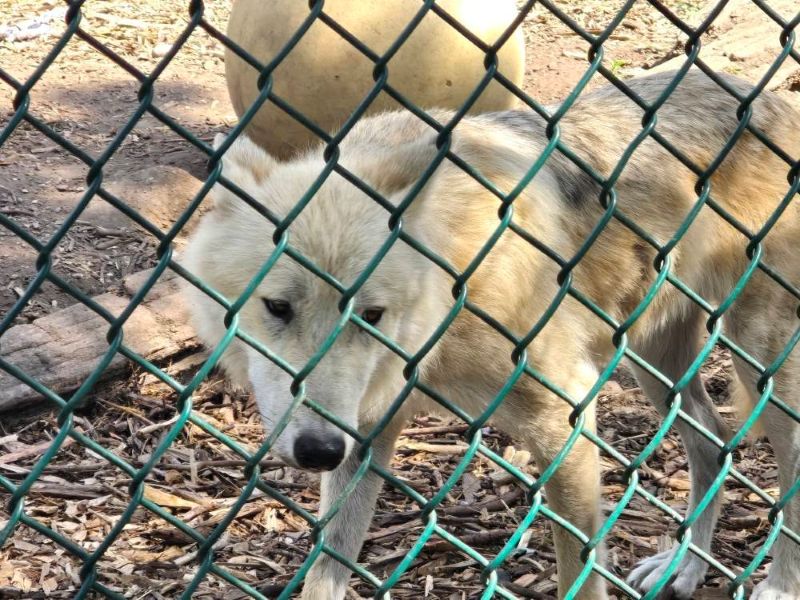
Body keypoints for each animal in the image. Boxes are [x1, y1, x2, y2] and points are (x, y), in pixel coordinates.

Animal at [182, 70, 800, 599]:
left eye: (371, 315)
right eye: (277, 307)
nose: (319, 450)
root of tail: (773, 103)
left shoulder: (565, 418)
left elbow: (580, 573)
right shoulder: (367, 436)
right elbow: (326, 570)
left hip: (759, 366)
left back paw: (778, 584)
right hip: (655, 359)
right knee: (714, 442)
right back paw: (685, 569)